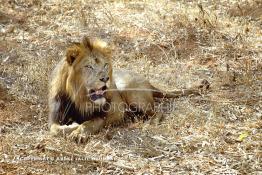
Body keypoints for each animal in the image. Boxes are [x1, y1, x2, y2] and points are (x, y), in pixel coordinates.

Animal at [48, 36, 209, 143]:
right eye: (89, 66)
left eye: (105, 65)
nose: (105, 78)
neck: (80, 99)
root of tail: (148, 82)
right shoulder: (55, 117)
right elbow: (54, 129)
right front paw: (72, 126)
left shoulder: (105, 115)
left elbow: (89, 123)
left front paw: (78, 132)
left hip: (129, 91)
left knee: (158, 112)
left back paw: (149, 123)